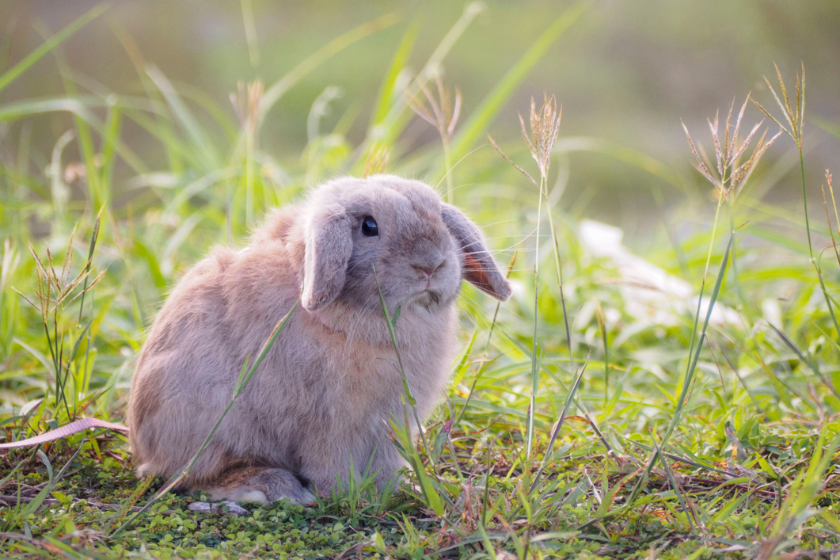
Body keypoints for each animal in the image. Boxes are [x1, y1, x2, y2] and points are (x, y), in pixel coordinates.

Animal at [129, 174, 512, 504]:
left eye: (440, 218)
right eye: (369, 226)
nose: (431, 264)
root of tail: (143, 447)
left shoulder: (390, 424)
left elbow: (385, 462)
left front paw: (391, 490)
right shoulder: (329, 421)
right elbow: (329, 461)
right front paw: (343, 493)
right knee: (195, 476)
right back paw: (275, 488)